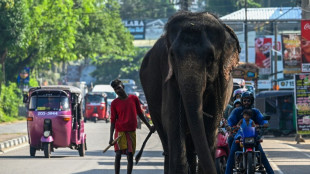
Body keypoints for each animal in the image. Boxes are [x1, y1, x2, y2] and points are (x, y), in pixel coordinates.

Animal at [140, 11, 240, 174]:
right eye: (172, 55)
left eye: (210, 57)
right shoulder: (169, 78)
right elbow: (172, 118)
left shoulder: (220, 84)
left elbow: (211, 123)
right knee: (166, 140)